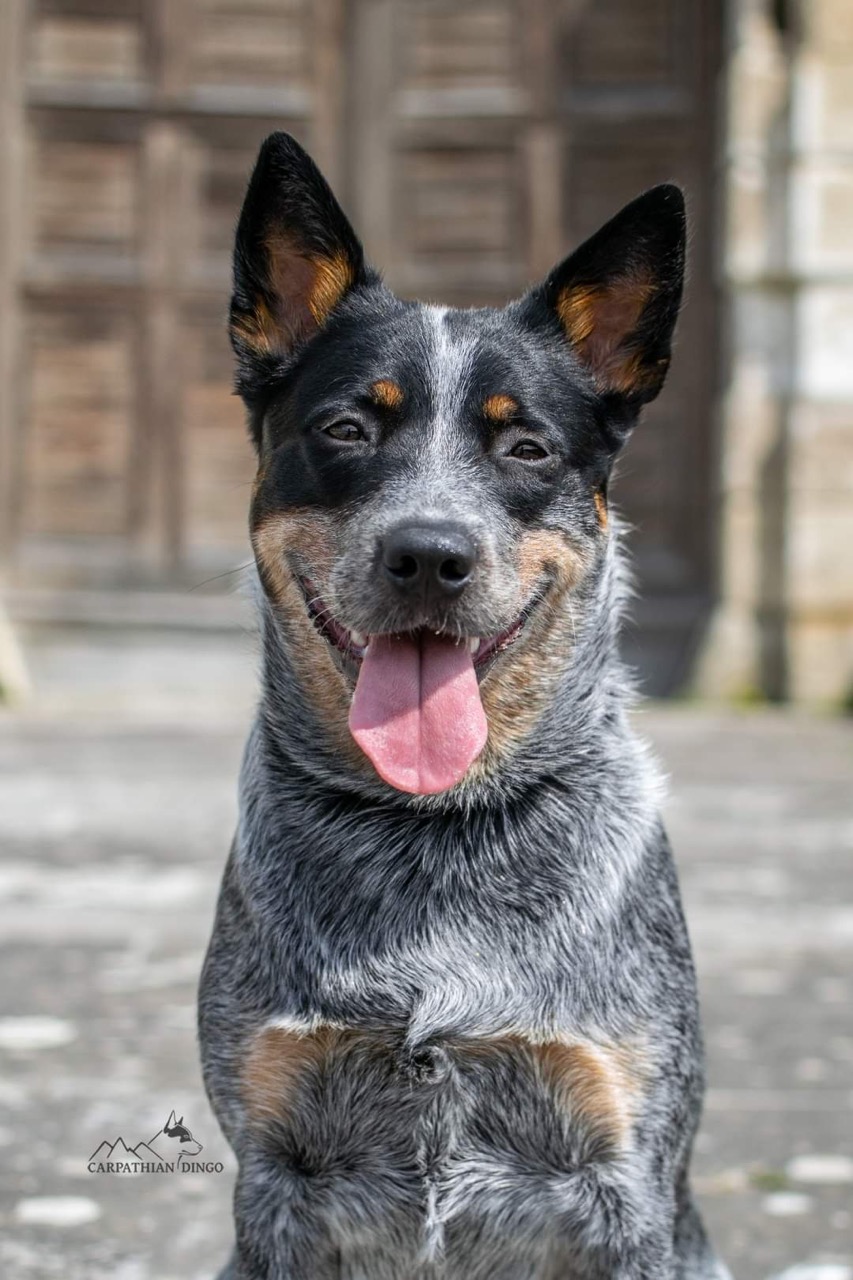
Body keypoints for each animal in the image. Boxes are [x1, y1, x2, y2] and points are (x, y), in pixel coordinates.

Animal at [195, 129, 727, 1280]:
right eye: (347, 427)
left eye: (524, 446)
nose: (428, 554)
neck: (433, 832)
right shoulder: (273, 1180)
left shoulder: (624, 1178)